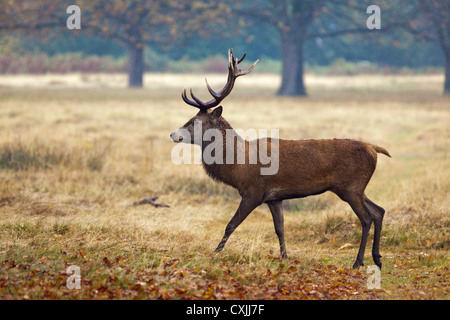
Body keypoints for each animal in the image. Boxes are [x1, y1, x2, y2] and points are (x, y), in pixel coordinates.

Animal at [170, 49, 390, 270]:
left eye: (195, 122)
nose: (173, 134)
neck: (238, 165)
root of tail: (374, 149)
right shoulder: (274, 198)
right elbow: (280, 229)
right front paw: (285, 258)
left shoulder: (253, 192)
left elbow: (231, 224)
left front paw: (215, 253)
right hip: (356, 188)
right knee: (379, 211)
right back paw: (377, 259)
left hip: (350, 187)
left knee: (366, 218)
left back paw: (358, 262)